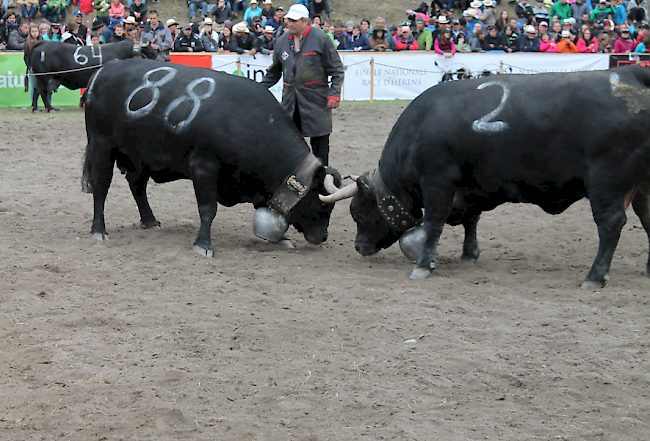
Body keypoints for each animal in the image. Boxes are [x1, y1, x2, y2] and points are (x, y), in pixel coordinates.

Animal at [83, 60, 342, 256]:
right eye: (323, 203)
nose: (323, 236)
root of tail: (104, 70)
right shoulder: (204, 168)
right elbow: (208, 209)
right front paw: (203, 244)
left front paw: (281, 238)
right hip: (101, 146)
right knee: (101, 187)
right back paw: (99, 230)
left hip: (139, 156)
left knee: (137, 186)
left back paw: (150, 220)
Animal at [320, 65, 650, 290]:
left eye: (357, 212)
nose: (359, 247)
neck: (421, 125)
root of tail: (631, 74)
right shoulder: (469, 189)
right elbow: (471, 220)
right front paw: (470, 254)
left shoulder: (438, 182)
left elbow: (434, 224)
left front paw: (424, 264)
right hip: (643, 187)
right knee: (647, 220)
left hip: (606, 184)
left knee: (611, 225)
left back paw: (595, 276)